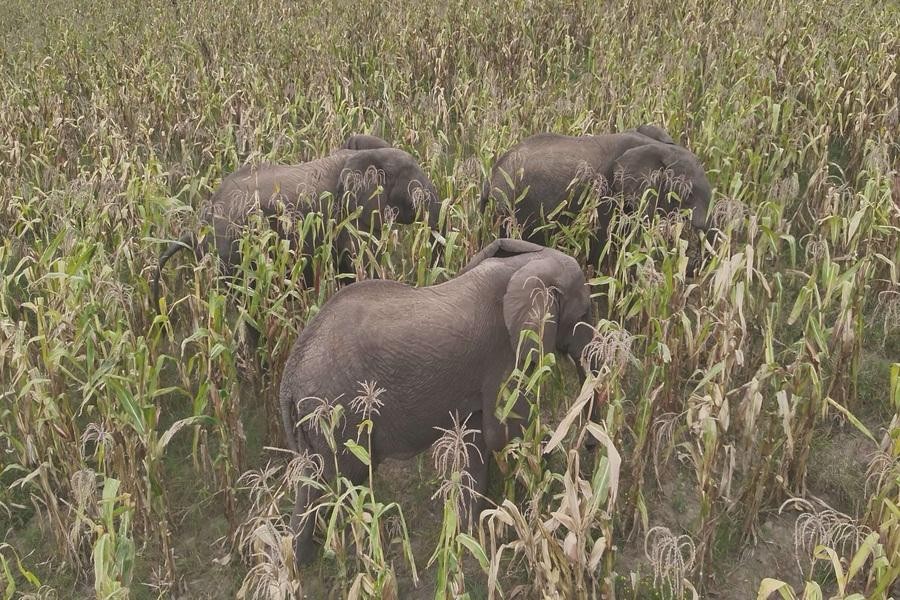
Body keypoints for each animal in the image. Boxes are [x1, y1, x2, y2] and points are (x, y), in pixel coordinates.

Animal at [279, 238, 597, 565]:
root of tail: (289, 379)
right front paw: (550, 474)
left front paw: (468, 536)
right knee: (340, 482)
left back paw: (300, 564)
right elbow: (506, 433)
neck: (524, 268)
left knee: (312, 483)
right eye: (584, 313)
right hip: (339, 414)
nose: (590, 446)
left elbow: (477, 439)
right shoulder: (505, 354)